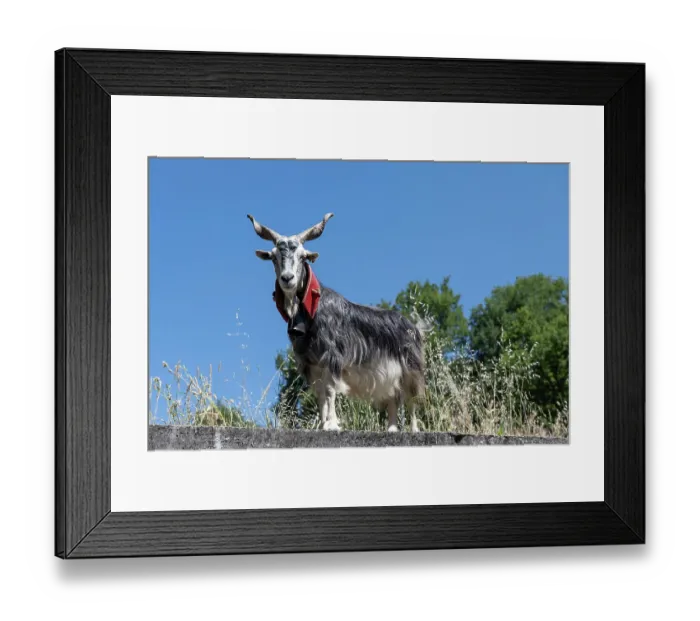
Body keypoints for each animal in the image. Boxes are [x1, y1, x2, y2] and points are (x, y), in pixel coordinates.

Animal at [248, 213, 426, 432]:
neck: (314, 308)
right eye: (273, 257)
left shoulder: (332, 357)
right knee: (394, 397)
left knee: (412, 400)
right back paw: (391, 429)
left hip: (411, 368)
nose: (287, 278)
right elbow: (320, 395)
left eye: (303, 256)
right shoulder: (311, 364)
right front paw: (321, 423)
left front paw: (332, 424)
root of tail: (414, 328)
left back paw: (414, 430)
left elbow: (331, 389)